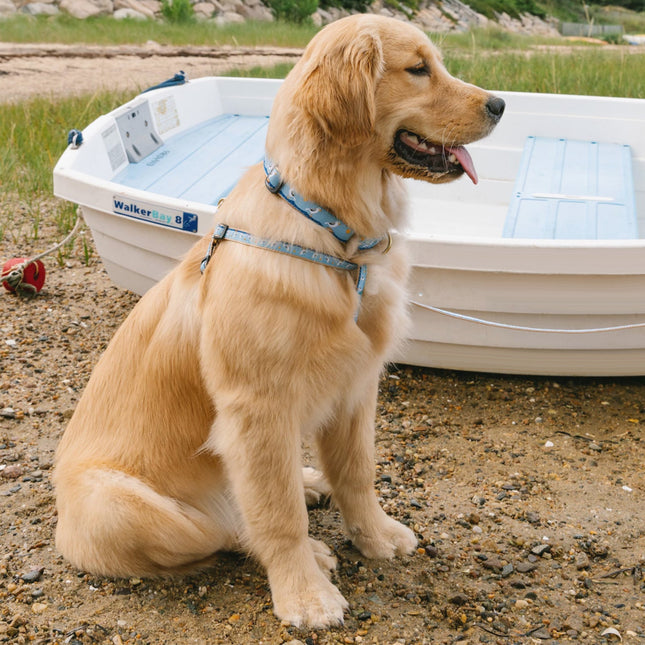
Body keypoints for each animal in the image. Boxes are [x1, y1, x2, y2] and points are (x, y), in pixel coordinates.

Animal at [54, 13, 504, 628]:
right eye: (418, 69)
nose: (501, 104)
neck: (336, 235)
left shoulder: (357, 386)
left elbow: (358, 473)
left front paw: (376, 536)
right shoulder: (257, 409)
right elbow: (277, 516)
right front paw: (305, 594)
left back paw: (311, 482)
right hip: (127, 507)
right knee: (224, 526)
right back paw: (307, 545)